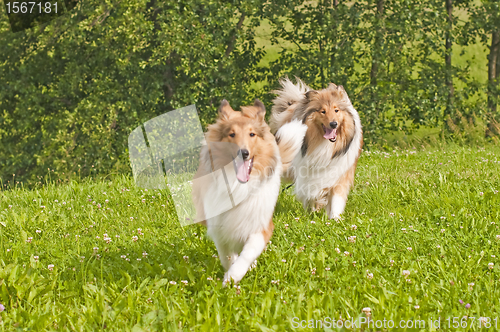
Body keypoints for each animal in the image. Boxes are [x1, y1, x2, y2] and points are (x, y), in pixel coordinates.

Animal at [192, 98, 294, 286]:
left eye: (252, 134)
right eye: (231, 134)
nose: (244, 153)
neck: (237, 184)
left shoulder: (259, 224)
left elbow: (248, 252)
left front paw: (234, 275)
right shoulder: (219, 227)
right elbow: (226, 255)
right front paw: (229, 274)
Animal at [270, 76, 364, 219]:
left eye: (336, 110)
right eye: (322, 111)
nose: (333, 124)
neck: (325, 144)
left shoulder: (340, 172)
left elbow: (336, 198)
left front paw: (335, 218)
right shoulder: (306, 172)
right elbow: (311, 192)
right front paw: (313, 211)